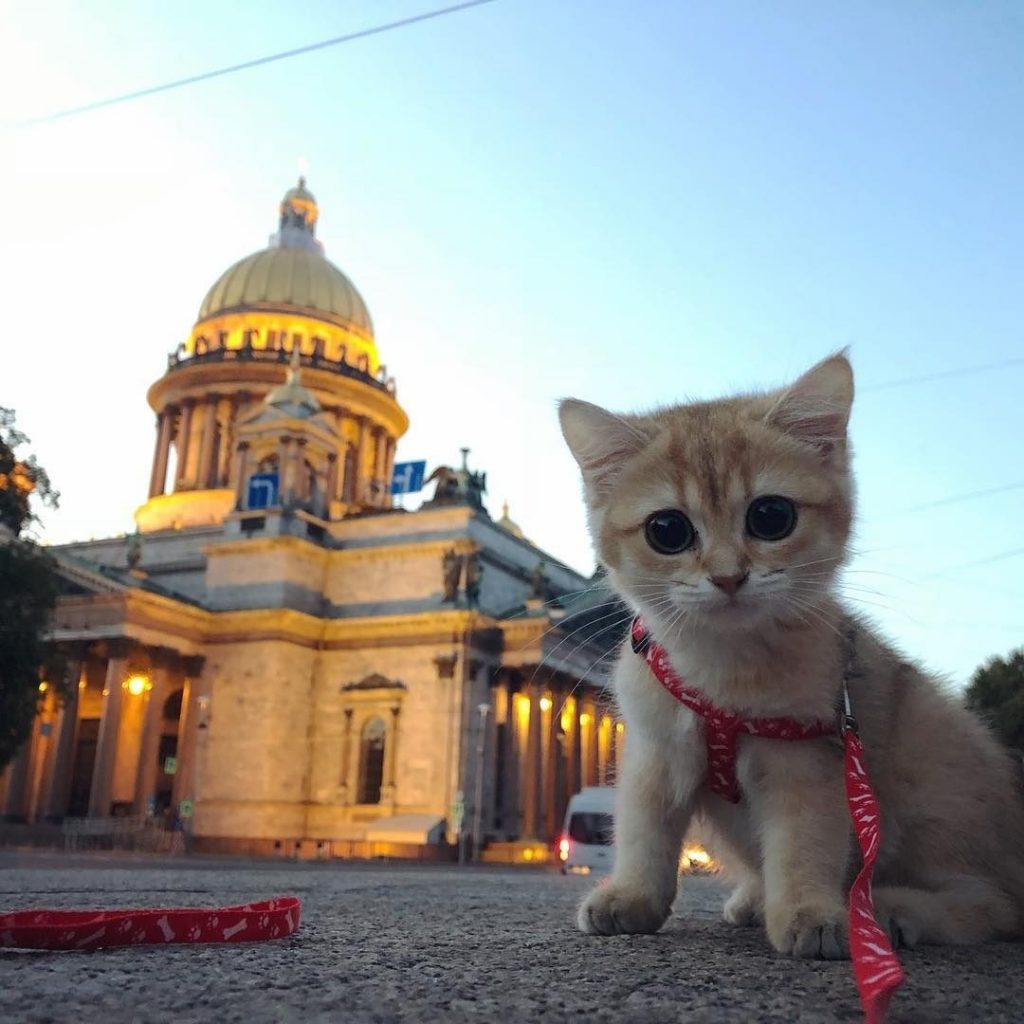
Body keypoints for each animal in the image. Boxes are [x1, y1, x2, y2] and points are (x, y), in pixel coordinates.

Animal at [561, 354, 1024, 958]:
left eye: (771, 517)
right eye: (667, 530)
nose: (728, 576)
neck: (723, 670)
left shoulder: (807, 758)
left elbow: (803, 845)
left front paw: (811, 914)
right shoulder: (655, 754)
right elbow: (645, 834)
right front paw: (632, 897)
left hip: (937, 765)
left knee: (992, 903)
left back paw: (890, 909)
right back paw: (758, 899)